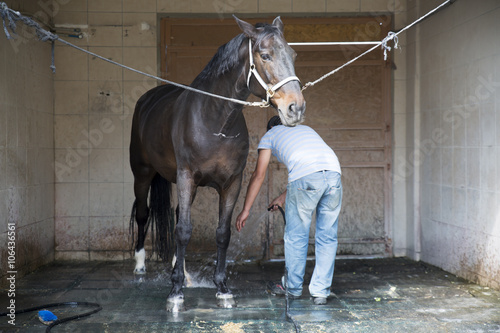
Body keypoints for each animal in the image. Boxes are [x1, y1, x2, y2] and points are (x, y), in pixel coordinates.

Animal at [129, 16, 304, 312]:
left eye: (293, 54)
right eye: (265, 55)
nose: (296, 108)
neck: (216, 122)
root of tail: (148, 99)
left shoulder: (232, 183)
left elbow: (222, 233)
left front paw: (222, 288)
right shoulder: (186, 176)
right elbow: (184, 230)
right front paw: (175, 293)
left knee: (178, 214)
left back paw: (180, 268)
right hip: (142, 174)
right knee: (144, 213)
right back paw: (140, 265)